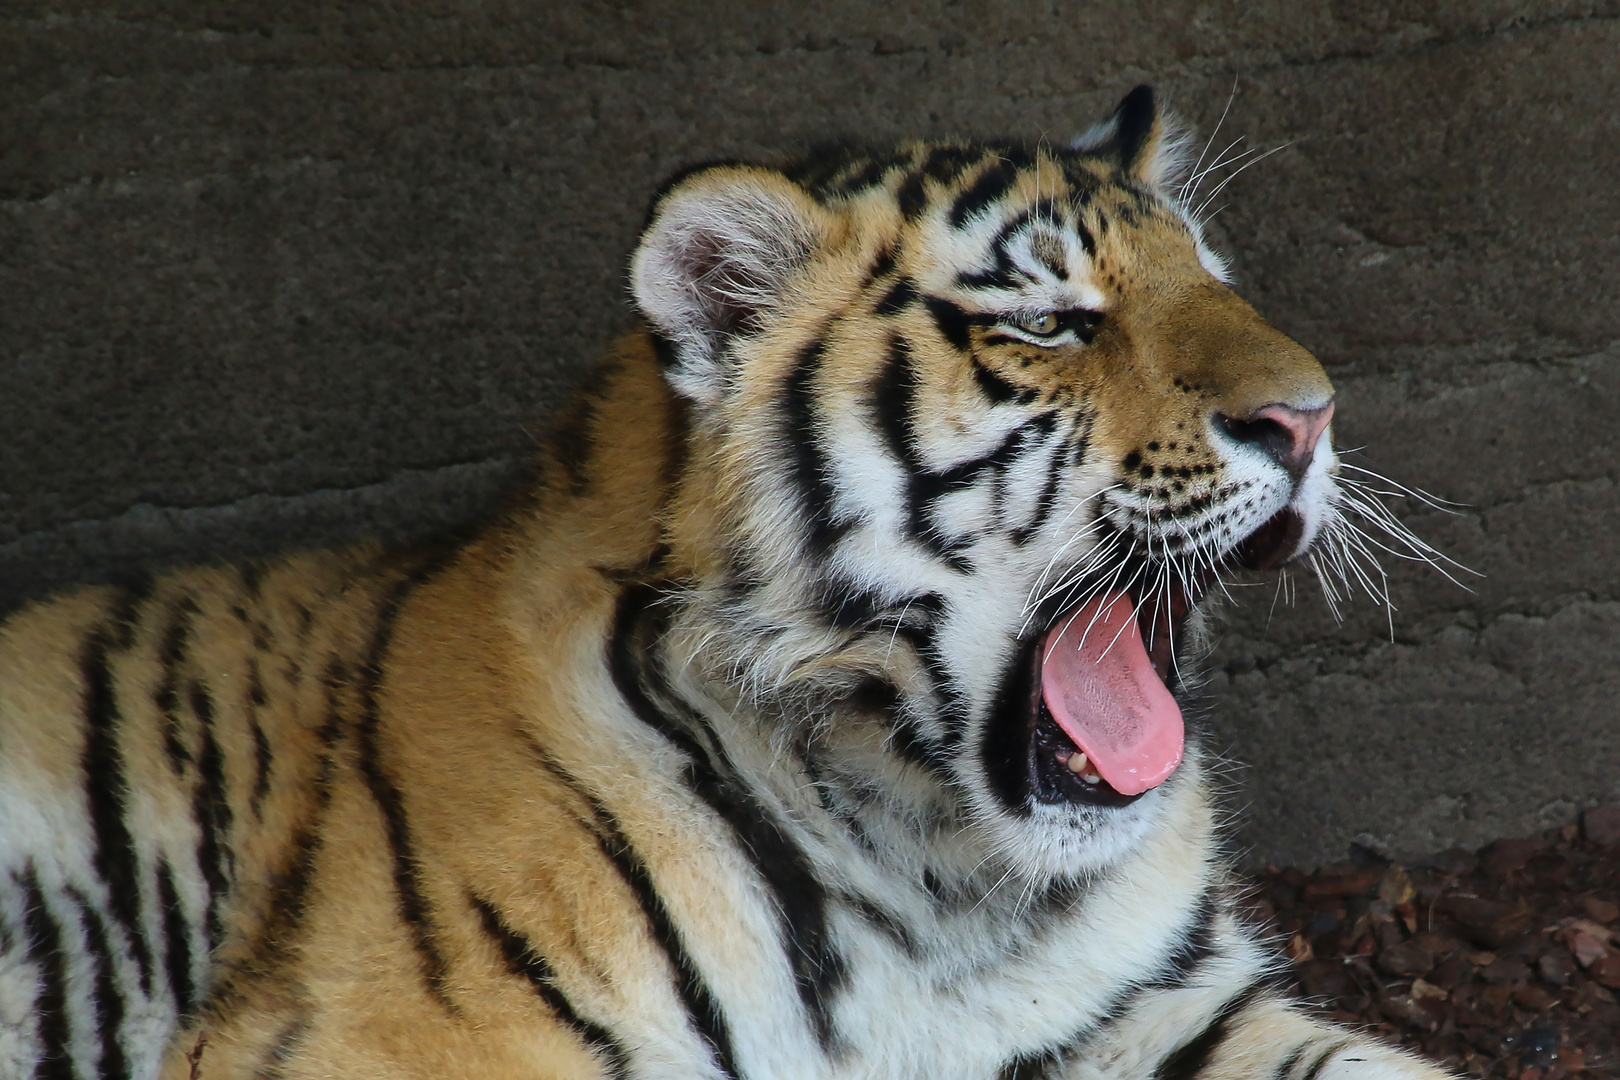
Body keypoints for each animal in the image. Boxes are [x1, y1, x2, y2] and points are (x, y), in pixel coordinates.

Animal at [0, 86, 1445, 1080]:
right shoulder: (399, 1035)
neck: (947, 875)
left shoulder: (1172, 1010)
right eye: (1046, 322)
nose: (1310, 419)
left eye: (1218, 284)